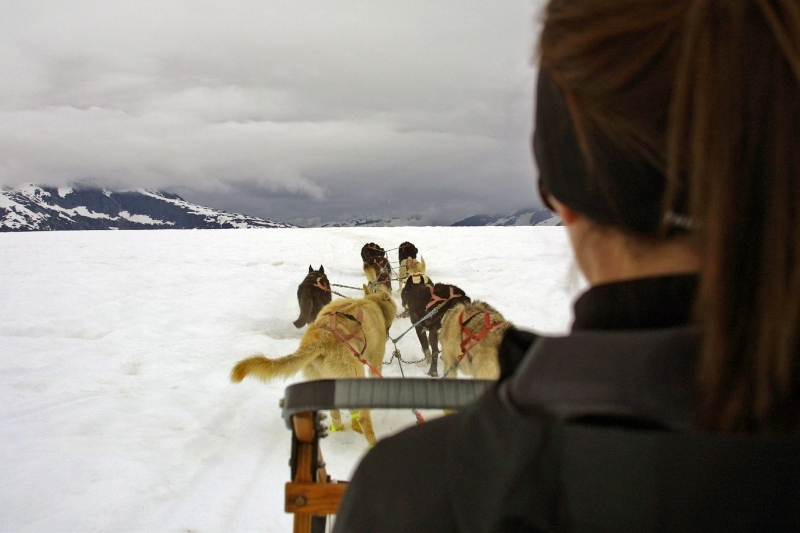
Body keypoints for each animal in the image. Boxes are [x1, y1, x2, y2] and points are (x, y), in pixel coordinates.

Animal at [230, 286, 396, 444]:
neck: (370, 302)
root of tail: (320, 339)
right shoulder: (375, 361)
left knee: (335, 412)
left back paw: (339, 428)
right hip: (354, 375)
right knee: (363, 419)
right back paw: (371, 440)